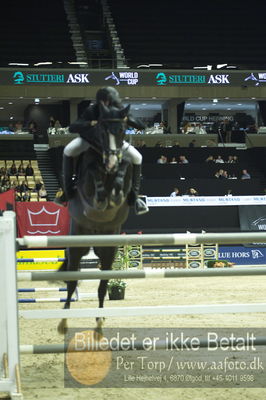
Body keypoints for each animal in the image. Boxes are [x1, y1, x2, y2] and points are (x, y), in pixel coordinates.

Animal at [58, 104, 133, 334]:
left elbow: (124, 170)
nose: (111, 161)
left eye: (122, 131)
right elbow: (93, 174)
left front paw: (116, 191)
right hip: (76, 250)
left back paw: (100, 321)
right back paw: (64, 321)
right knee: (71, 284)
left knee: (102, 285)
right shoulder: (87, 180)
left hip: (108, 252)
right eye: (101, 132)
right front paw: (102, 197)